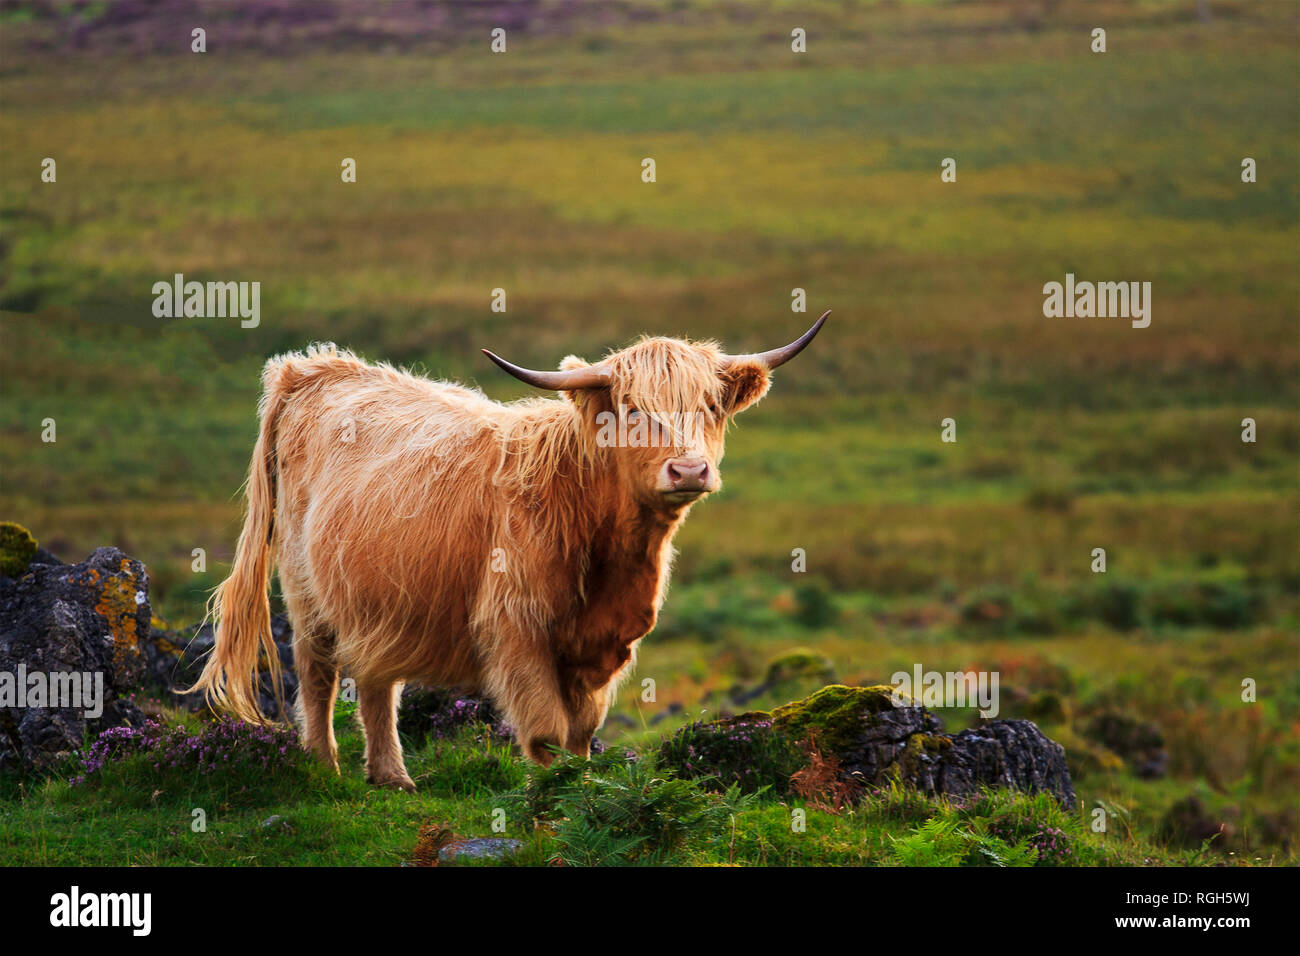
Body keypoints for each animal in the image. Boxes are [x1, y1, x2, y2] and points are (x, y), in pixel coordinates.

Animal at [190, 311, 828, 791]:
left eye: (711, 408)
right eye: (631, 410)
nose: (690, 469)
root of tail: (314, 367)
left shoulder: (602, 644)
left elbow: (582, 733)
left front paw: (580, 789)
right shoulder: (518, 627)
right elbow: (546, 730)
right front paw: (550, 799)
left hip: (382, 599)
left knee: (376, 680)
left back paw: (392, 777)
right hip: (306, 589)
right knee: (317, 673)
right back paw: (325, 766)